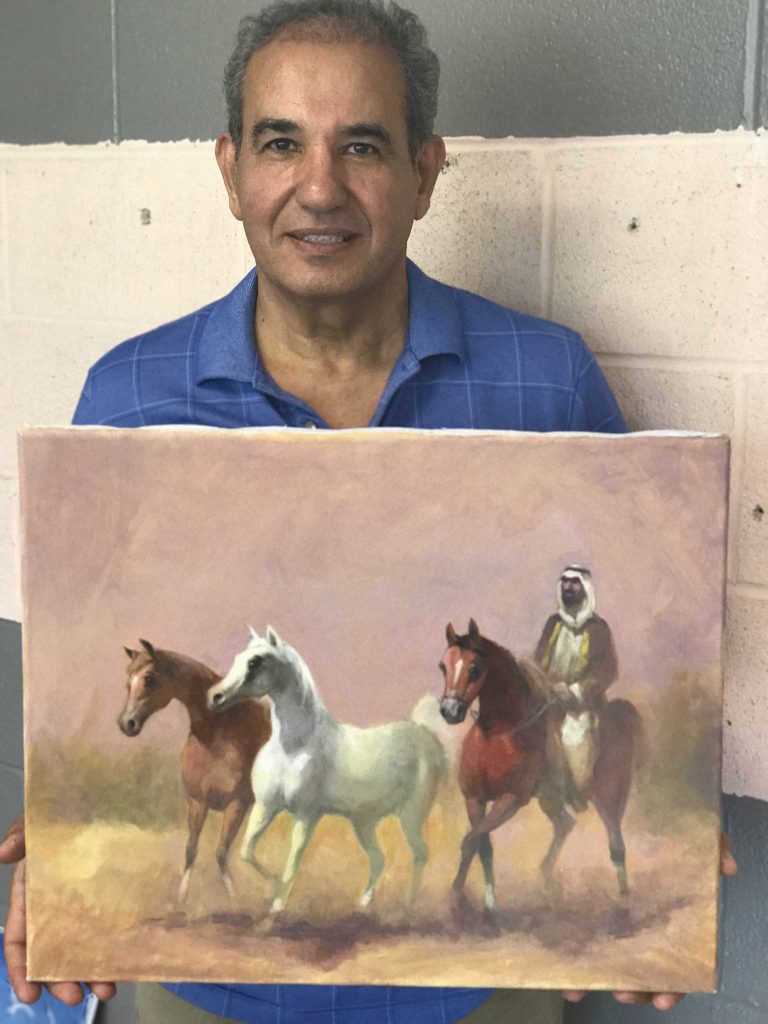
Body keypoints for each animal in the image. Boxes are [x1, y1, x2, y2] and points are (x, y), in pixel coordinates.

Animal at [118, 639, 271, 901]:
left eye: (149, 678)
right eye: (128, 680)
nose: (127, 724)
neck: (221, 731)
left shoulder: (237, 804)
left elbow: (221, 852)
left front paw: (234, 898)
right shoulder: (198, 801)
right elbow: (191, 849)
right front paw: (182, 898)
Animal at [207, 626, 446, 915]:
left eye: (255, 661)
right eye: (239, 657)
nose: (215, 697)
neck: (293, 747)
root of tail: (426, 734)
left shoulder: (306, 815)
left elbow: (293, 860)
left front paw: (277, 904)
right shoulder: (265, 807)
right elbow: (247, 851)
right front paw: (272, 888)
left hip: (411, 815)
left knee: (420, 854)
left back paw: (408, 906)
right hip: (364, 822)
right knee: (379, 858)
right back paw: (364, 903)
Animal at [438, 619, 642, 910]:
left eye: (474, 668)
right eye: (443, 666)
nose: (450, 711)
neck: (497, 735)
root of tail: (617, 715)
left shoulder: (511, 800)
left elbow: (470, 841)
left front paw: (459, 894)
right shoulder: (474, 799)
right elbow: (481, 845)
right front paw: (486, 900)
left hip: (608, 798)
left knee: (616, 843)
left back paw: (623, 899)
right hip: (550, 798)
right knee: (565, 824)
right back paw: (548, 881)